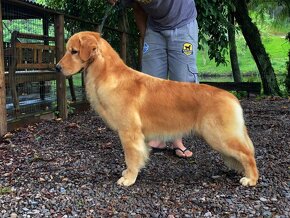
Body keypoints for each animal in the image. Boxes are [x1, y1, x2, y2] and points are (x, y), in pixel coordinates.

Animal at [56, 31, 258, 187]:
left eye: (73, 51)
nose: (57, 67)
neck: (108, 75)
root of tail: (232, 97)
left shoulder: (129, 132)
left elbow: (131, 157)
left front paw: (129, 179)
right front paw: (128, 174)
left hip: (219, 136)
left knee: (248, 154)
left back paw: (251, 179)